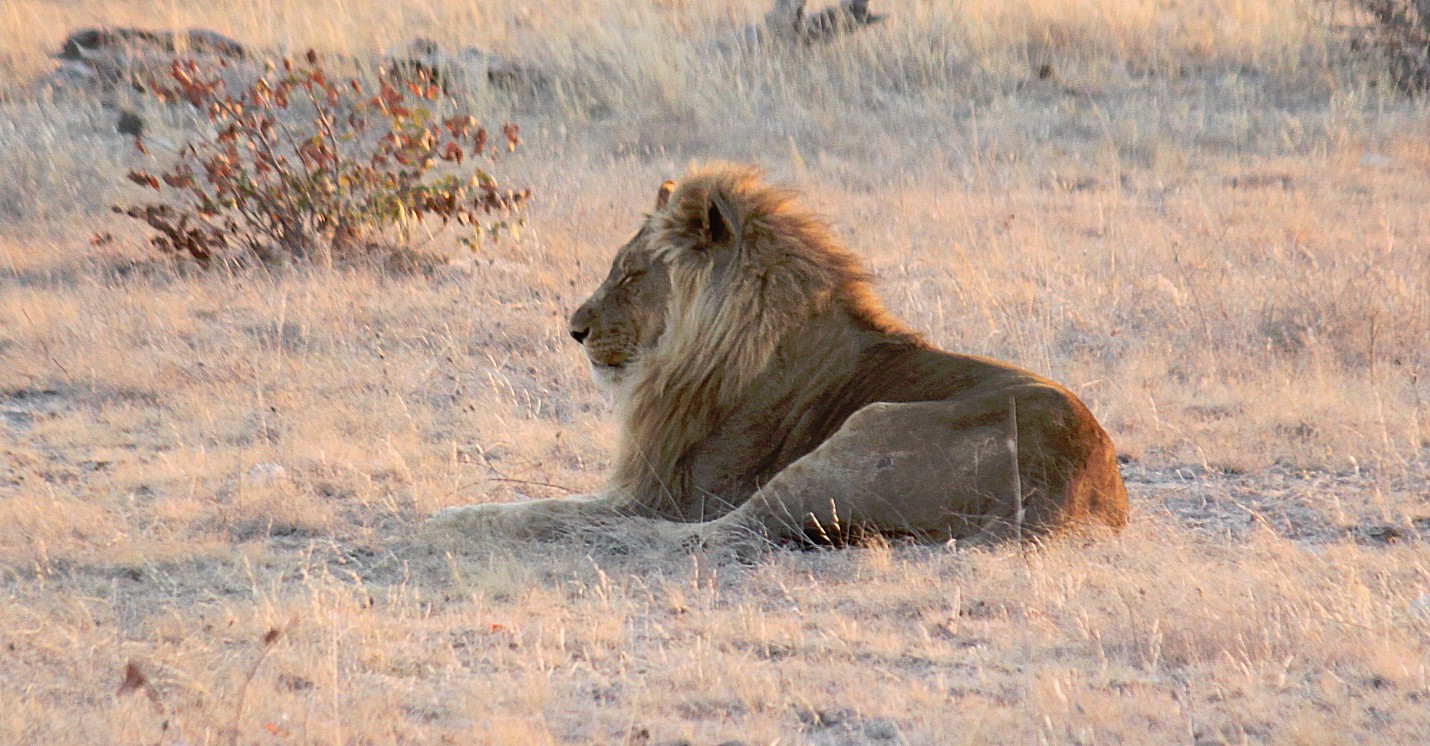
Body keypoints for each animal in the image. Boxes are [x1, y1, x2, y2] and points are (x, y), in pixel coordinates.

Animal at [426, 162, 1126, 545]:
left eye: (630, 274)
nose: (573, 330)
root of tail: (1075, 488)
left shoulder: (658, 491)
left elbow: (531, 509)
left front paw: (443, 517)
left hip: (859, 435)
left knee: (716, 533)